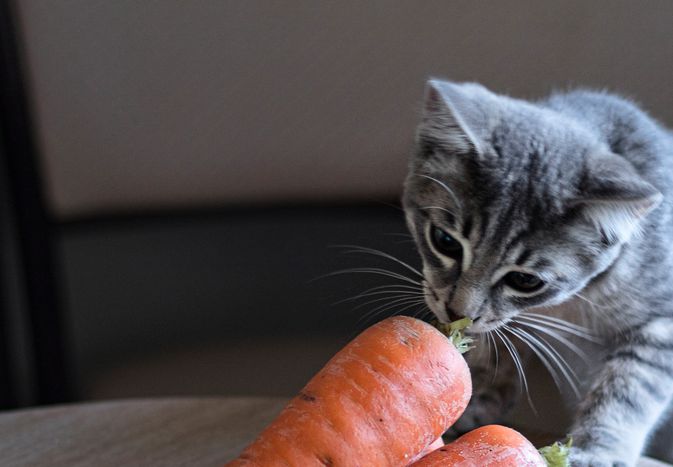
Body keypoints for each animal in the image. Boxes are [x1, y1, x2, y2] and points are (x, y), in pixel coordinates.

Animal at [402, 78, 672, 466]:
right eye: (445, 241)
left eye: (525, 280)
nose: (455, 312)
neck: (572, 303)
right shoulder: (510, 322)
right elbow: (495, 349)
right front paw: (477, 399)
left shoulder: (661, 324)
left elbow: (627, 388)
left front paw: (595, 449)